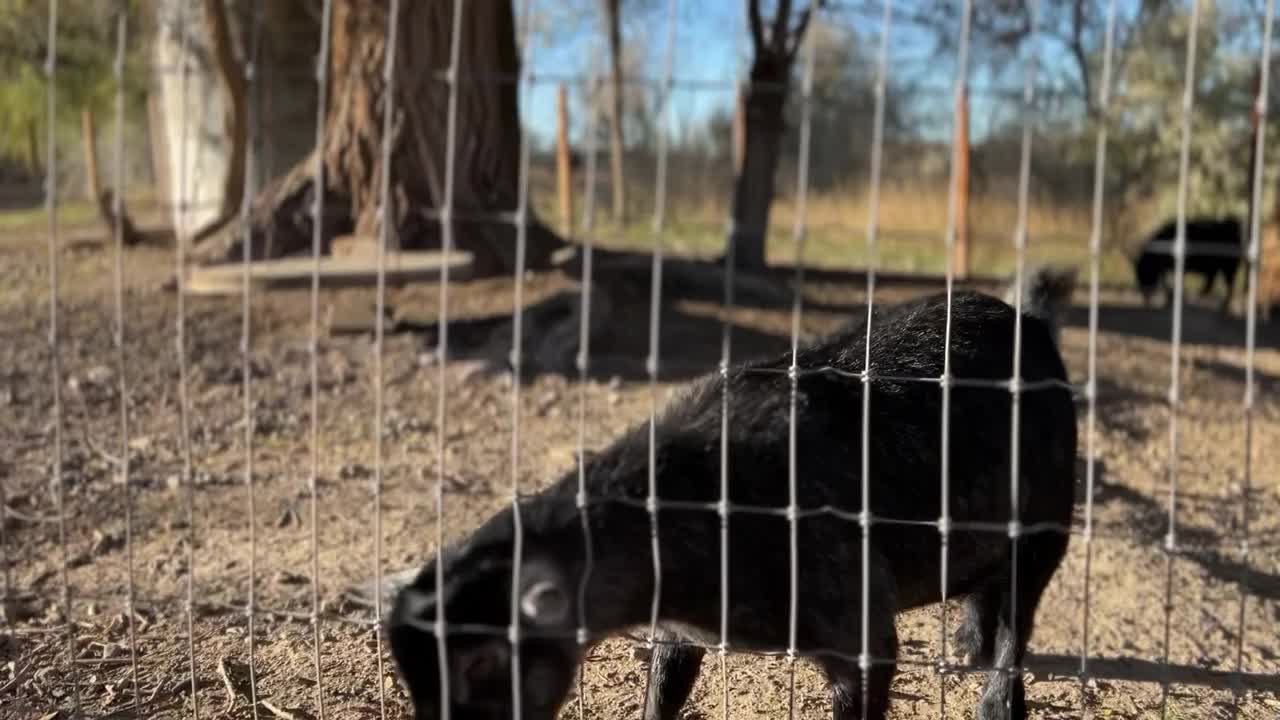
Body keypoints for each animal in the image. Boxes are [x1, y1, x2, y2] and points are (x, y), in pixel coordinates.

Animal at [389, 271, 1080, 712]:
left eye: (480, 666)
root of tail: (1033, 323)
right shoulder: (676, 635)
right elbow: (659, 700)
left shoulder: (858, 627)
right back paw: (966, 645)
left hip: (1048, 527)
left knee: (1018, 621)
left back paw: (994, 697)